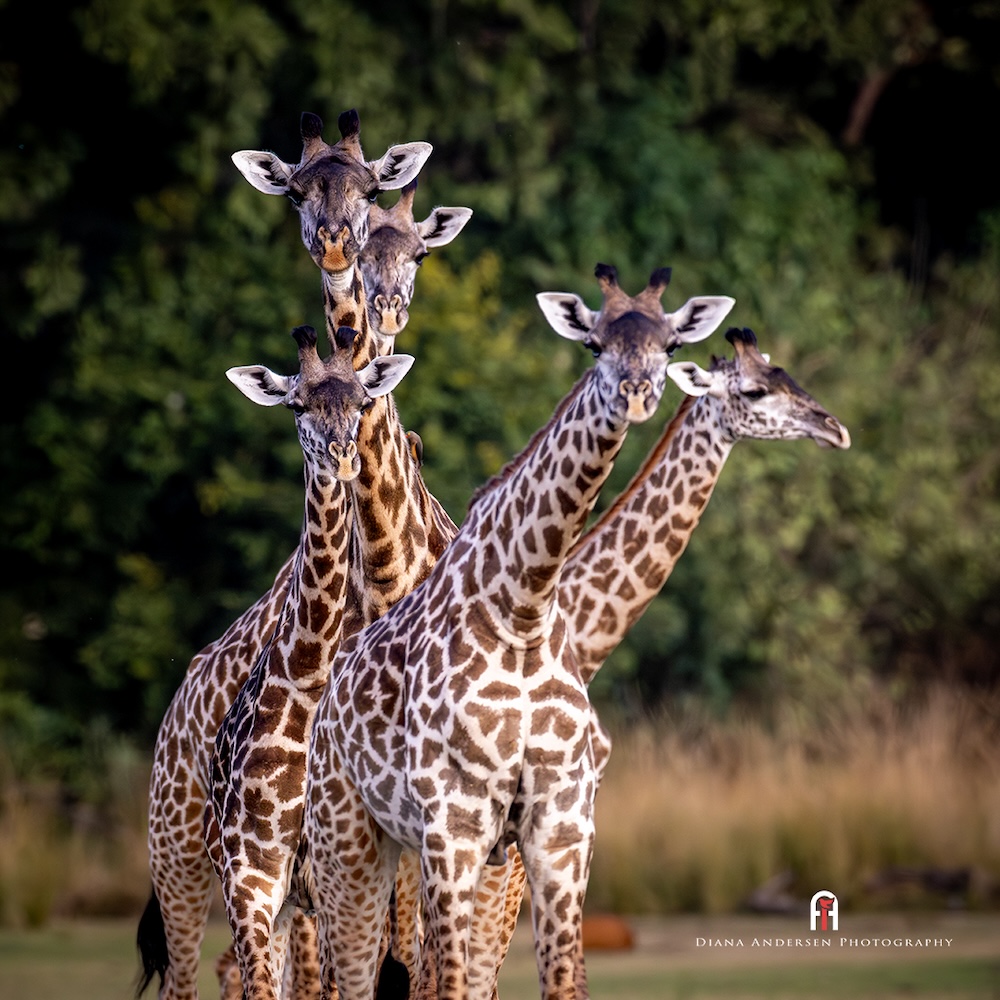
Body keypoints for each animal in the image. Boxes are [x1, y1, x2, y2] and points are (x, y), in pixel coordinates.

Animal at [139, 110, 436, 1000]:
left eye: (412, 249)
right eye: (299, 191)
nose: (340, 255)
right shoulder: (270, 876)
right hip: (183, 867)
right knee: (193, 976)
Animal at [302, 263, 735, 1000]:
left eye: (670, 346)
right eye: (596, 344)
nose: (638, 392)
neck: (523, 610)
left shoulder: (561, 826)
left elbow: (561, 982)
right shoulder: (454, 828)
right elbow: (445, 986)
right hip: (347, 837)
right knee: (350, 975)